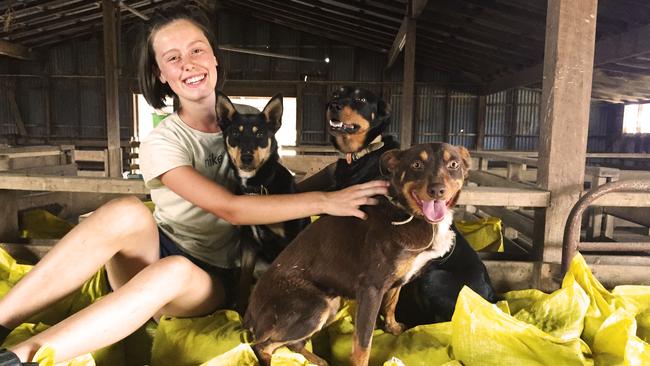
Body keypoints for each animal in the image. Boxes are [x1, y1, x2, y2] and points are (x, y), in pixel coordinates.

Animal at [215, 93, 308, 314]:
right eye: (235, 133)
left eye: (260, 134)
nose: (247, 157)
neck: (258, 187)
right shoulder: (248, 243)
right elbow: (243, 281)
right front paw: (240, 312)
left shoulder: (289, 239)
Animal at [242, 143, 466, 366]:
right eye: (416, 164)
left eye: (454, 164)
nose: (437, 190)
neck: (407, 213)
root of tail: (249, 314)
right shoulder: (371, 289)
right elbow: (363, 343)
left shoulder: (396, 281)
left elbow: (391, 305)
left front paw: (392, 328)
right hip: (317, 305)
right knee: (262, 345)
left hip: (331, 304)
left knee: (293, 344)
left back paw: (318, 361)